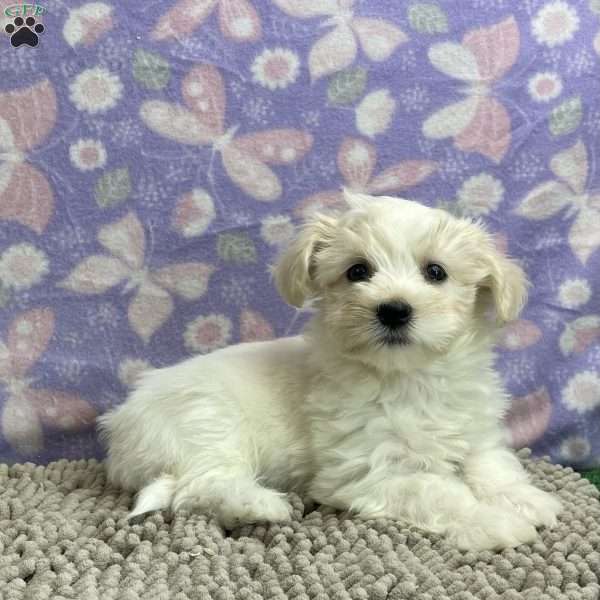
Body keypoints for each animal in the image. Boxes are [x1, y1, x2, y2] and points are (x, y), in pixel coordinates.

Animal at [99, 191, 564, 548]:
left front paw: (527, 500)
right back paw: (264, 504)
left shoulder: (476, 433)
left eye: (436, 272)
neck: (409, 377)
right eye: (357, 271)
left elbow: (493, 467)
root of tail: (120, 429)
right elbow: (437, 491)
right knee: (199, 486)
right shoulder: (367, 471)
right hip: (208, 423)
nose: (394, 309)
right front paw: (492, 521)